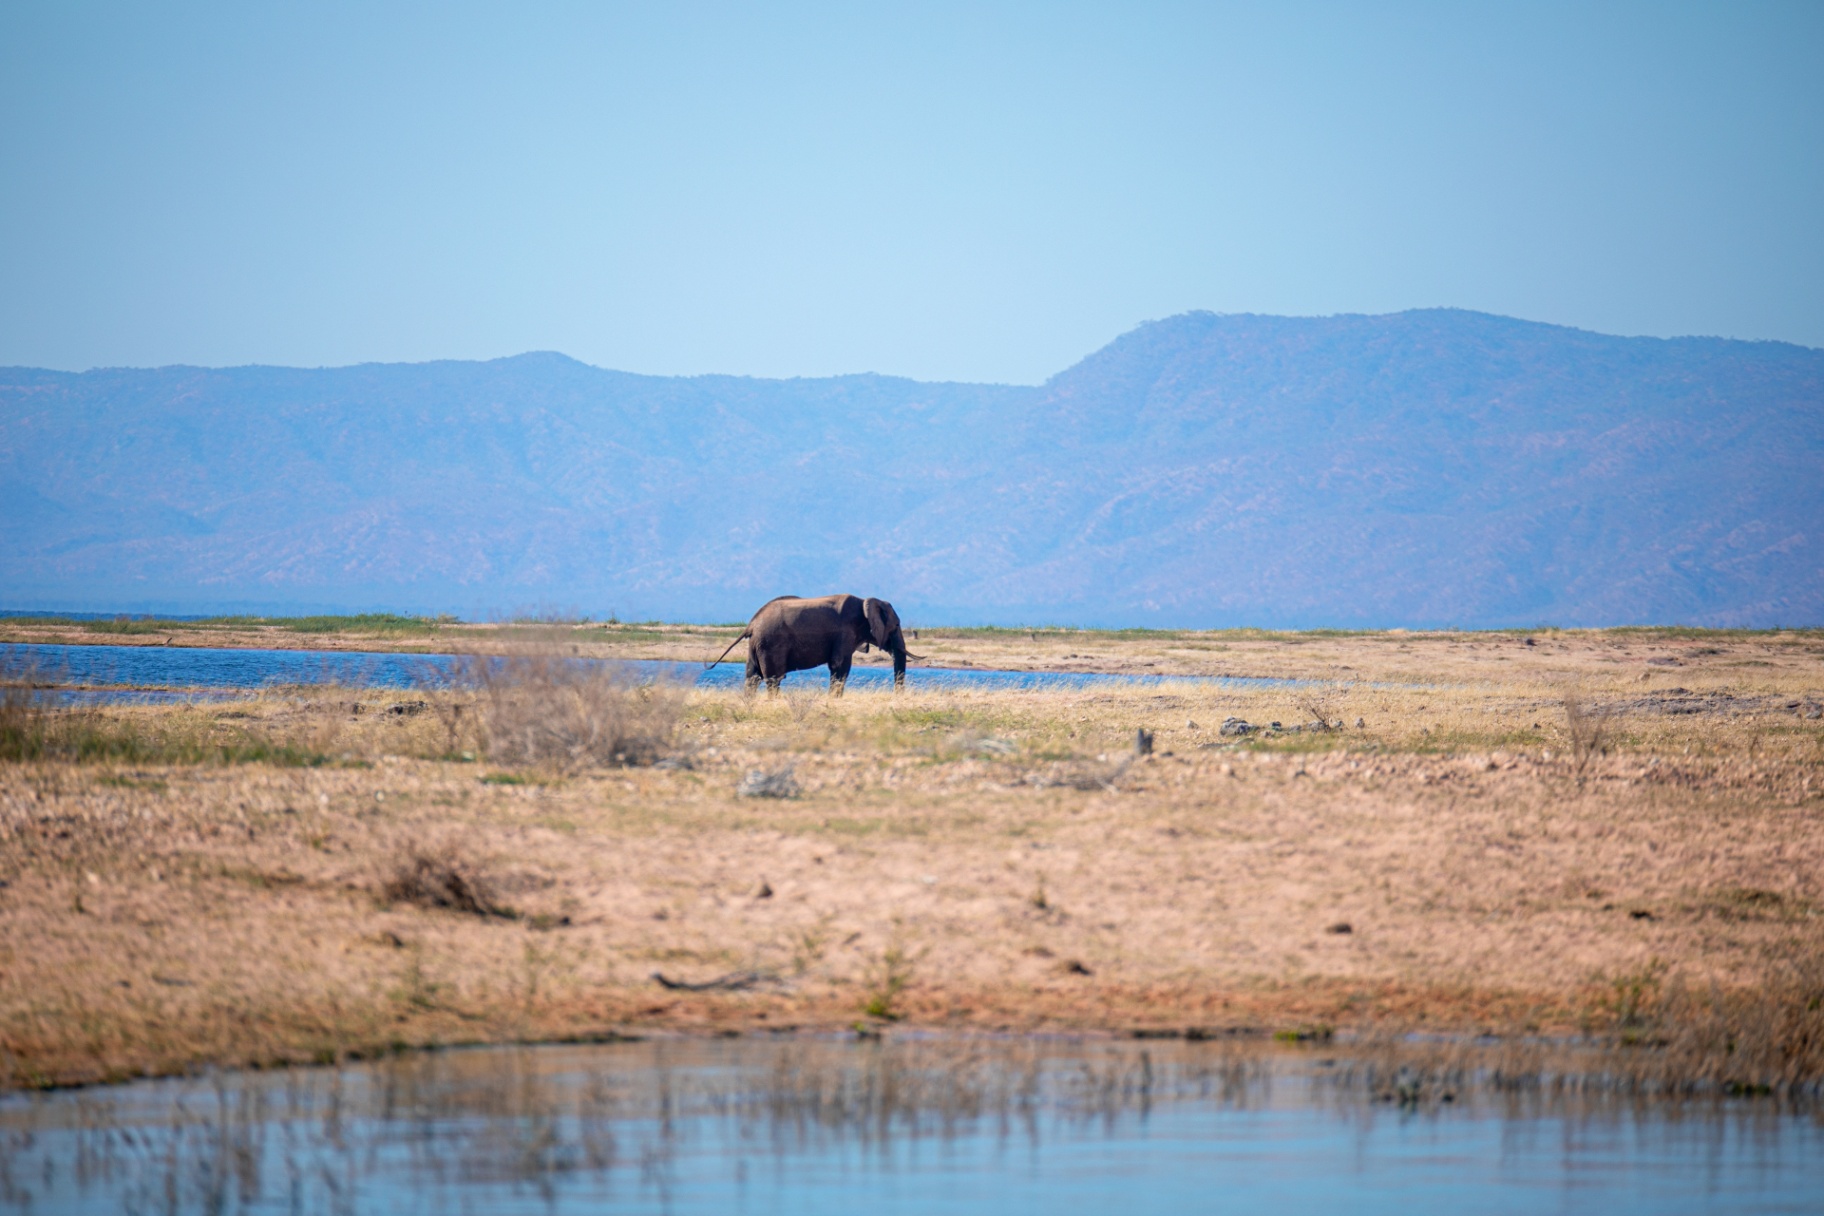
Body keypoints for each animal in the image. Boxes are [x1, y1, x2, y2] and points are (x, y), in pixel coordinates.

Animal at [709, 594, 915, 694]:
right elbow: (840, 667)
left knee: (752, 677)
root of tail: (751, 624)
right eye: (897, 625)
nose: (896, 696)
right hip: (770, 644)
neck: (865, 602)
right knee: (773, 679)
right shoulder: (844, 633)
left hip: (756, 645)